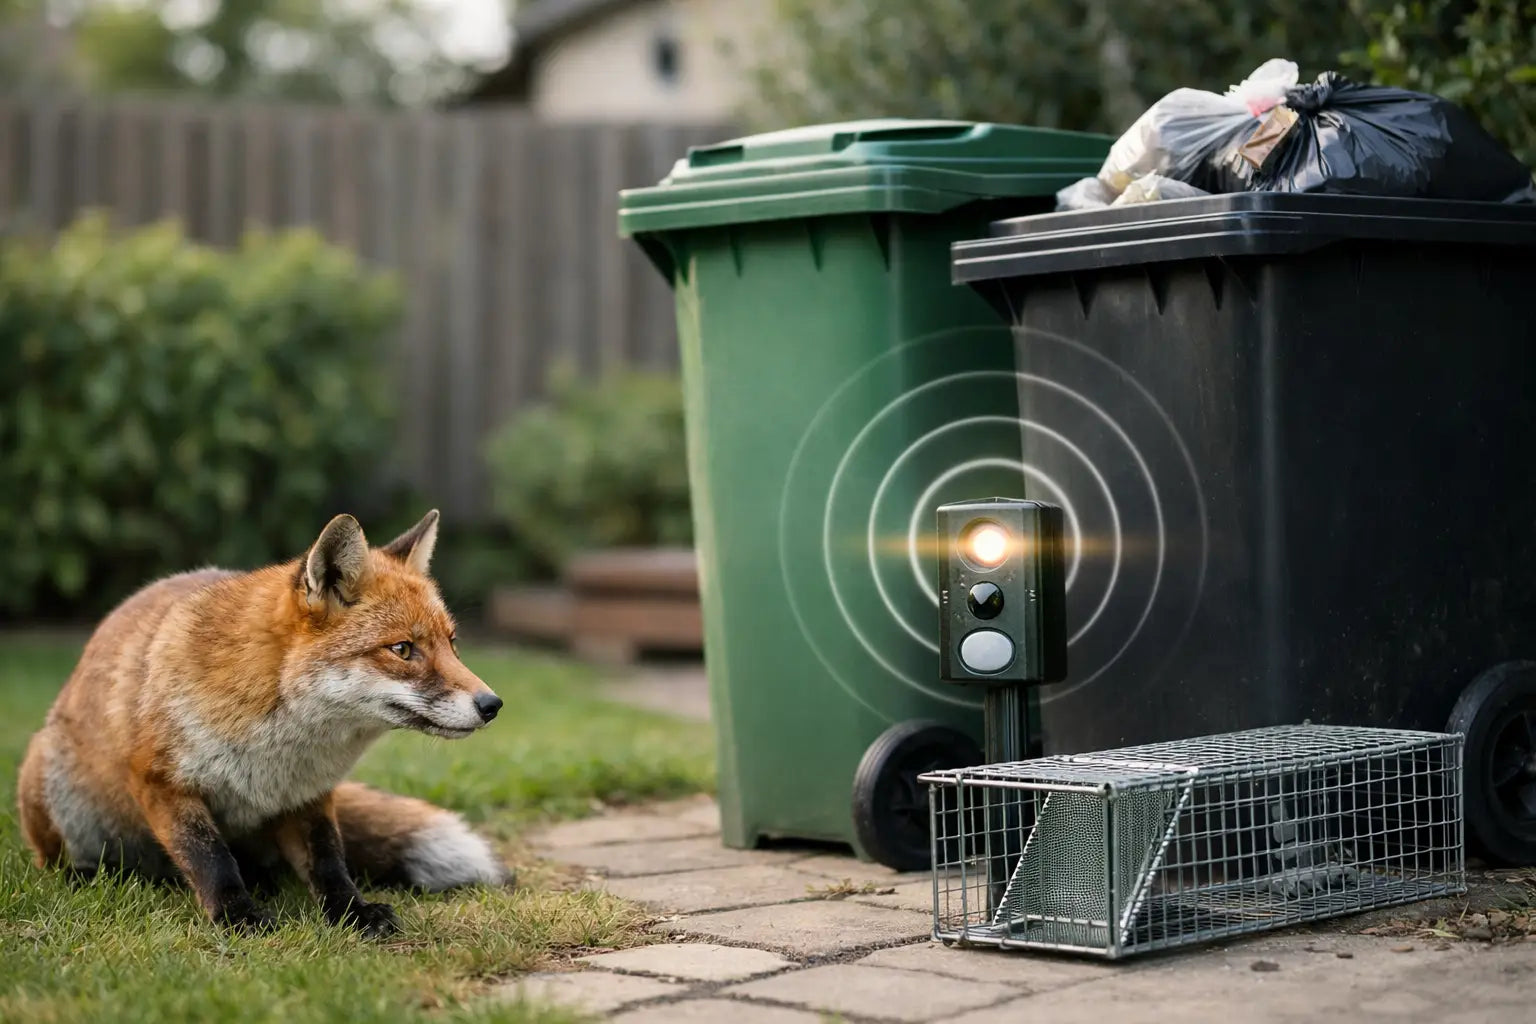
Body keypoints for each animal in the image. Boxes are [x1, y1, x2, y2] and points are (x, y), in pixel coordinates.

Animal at [15, 509, 512, 937]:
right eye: (403, 649)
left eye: (452, 644)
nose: (492, 704)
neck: (277, 749)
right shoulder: (160, 780)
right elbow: (210, 857)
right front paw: (238, 917)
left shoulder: (308, 795)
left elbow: (330, 863)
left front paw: (353, 912)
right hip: (52, 790)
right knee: (63, 860)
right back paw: (87, 874)